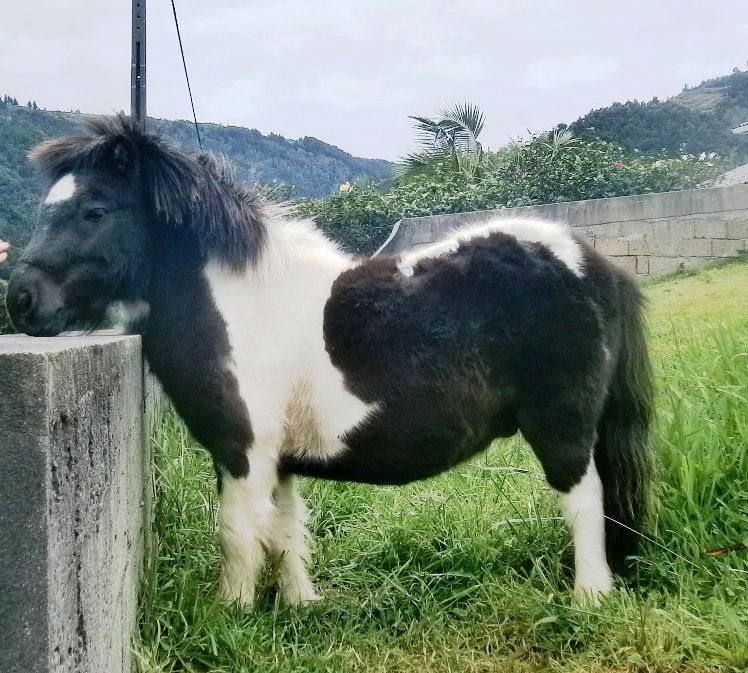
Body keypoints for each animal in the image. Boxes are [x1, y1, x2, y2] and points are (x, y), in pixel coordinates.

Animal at [5, 118, 652, 608]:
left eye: (94, 210)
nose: (21, 300)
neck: (240, 304)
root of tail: (591, 262)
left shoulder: (242, 453)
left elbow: (238, 533)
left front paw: (230, 613)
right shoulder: (280, 459)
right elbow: (287, 529)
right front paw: (298, 605)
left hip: (562, 426)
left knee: (585, 500)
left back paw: (590, 597)